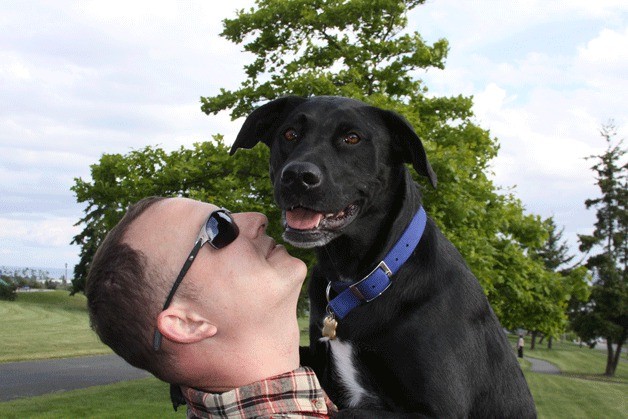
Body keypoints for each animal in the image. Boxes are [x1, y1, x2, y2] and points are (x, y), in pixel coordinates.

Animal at [233, 97, 536, 418]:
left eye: (352, 138)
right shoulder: (318, 359)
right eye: (290, 134)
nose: (297, 177)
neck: (365, 277)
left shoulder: (436, 410)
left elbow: (346, 412)